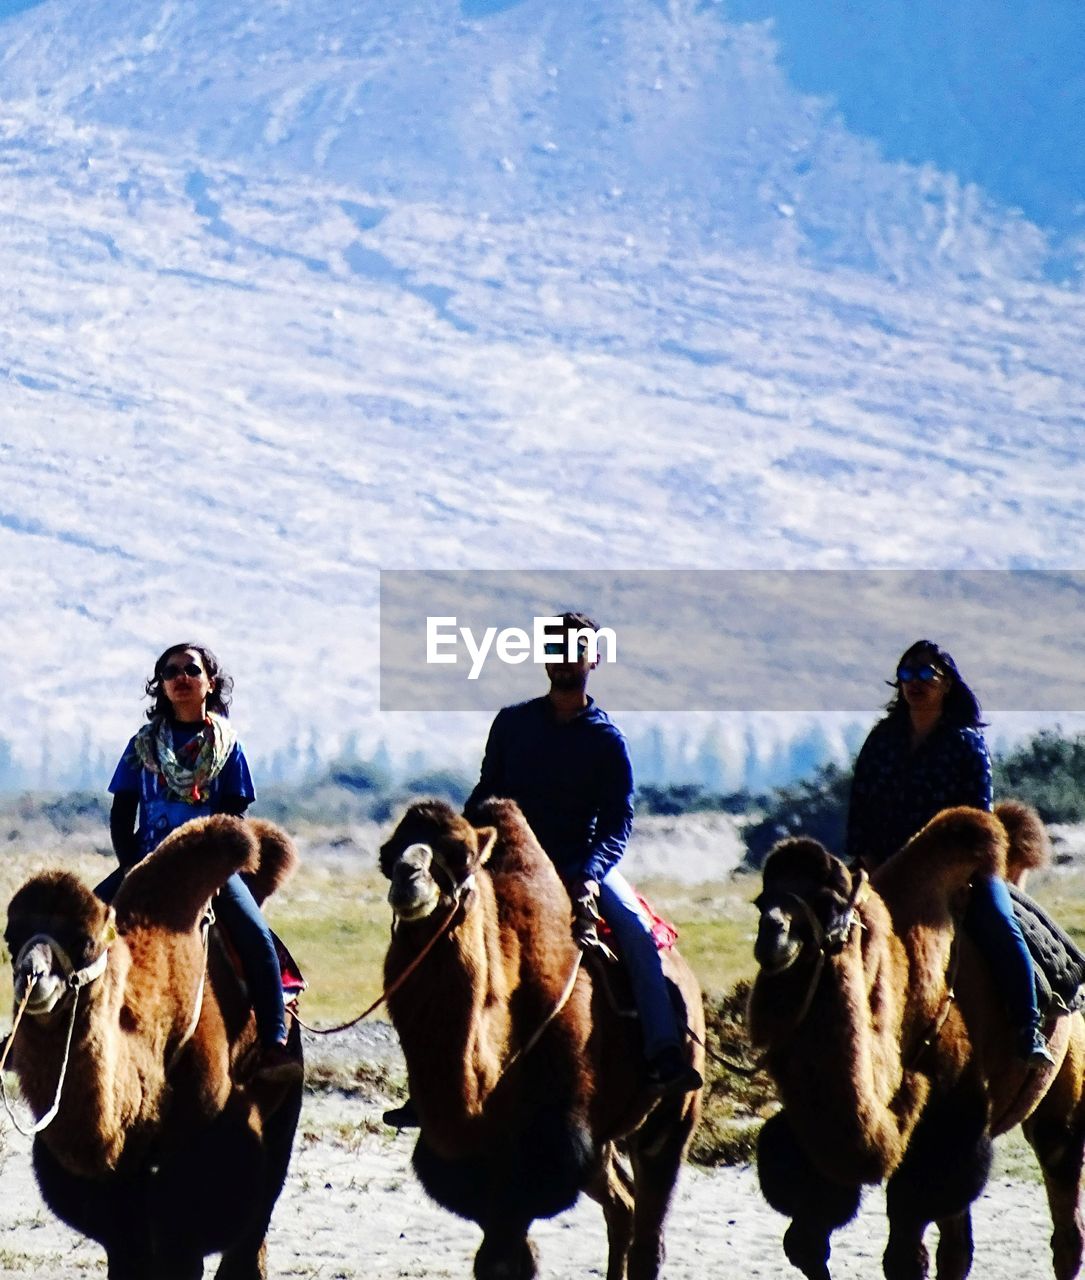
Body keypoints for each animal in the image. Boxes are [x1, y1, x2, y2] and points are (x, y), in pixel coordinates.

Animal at [4, 819, 303, 1280]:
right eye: (9, 939)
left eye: (85, 942)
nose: (31, 976)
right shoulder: (115, 1176)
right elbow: (127, 1245)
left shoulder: (206, 1142)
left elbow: (185, 1241)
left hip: (285, 1095)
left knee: (263, 1200)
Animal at [376, 798, 706, 1280]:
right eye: (386, 856)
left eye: (461, 855)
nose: (408, 877)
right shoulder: (476, 1167)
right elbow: (500, 1258)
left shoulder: (545, 1155)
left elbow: (506, 1257)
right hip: (601, 1143)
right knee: (622, 1206)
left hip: (669, 1115)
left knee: (649, 1224)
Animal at [752, 803, 1085, 1274]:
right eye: (762, 900)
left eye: (829, 902)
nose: (772, 935)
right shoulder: (814, 1133)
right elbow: (805, 1240)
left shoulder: (947, 1125)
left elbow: (904, 1254)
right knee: (958, 1245)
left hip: (1060, 1097)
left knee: (1063, 1201)